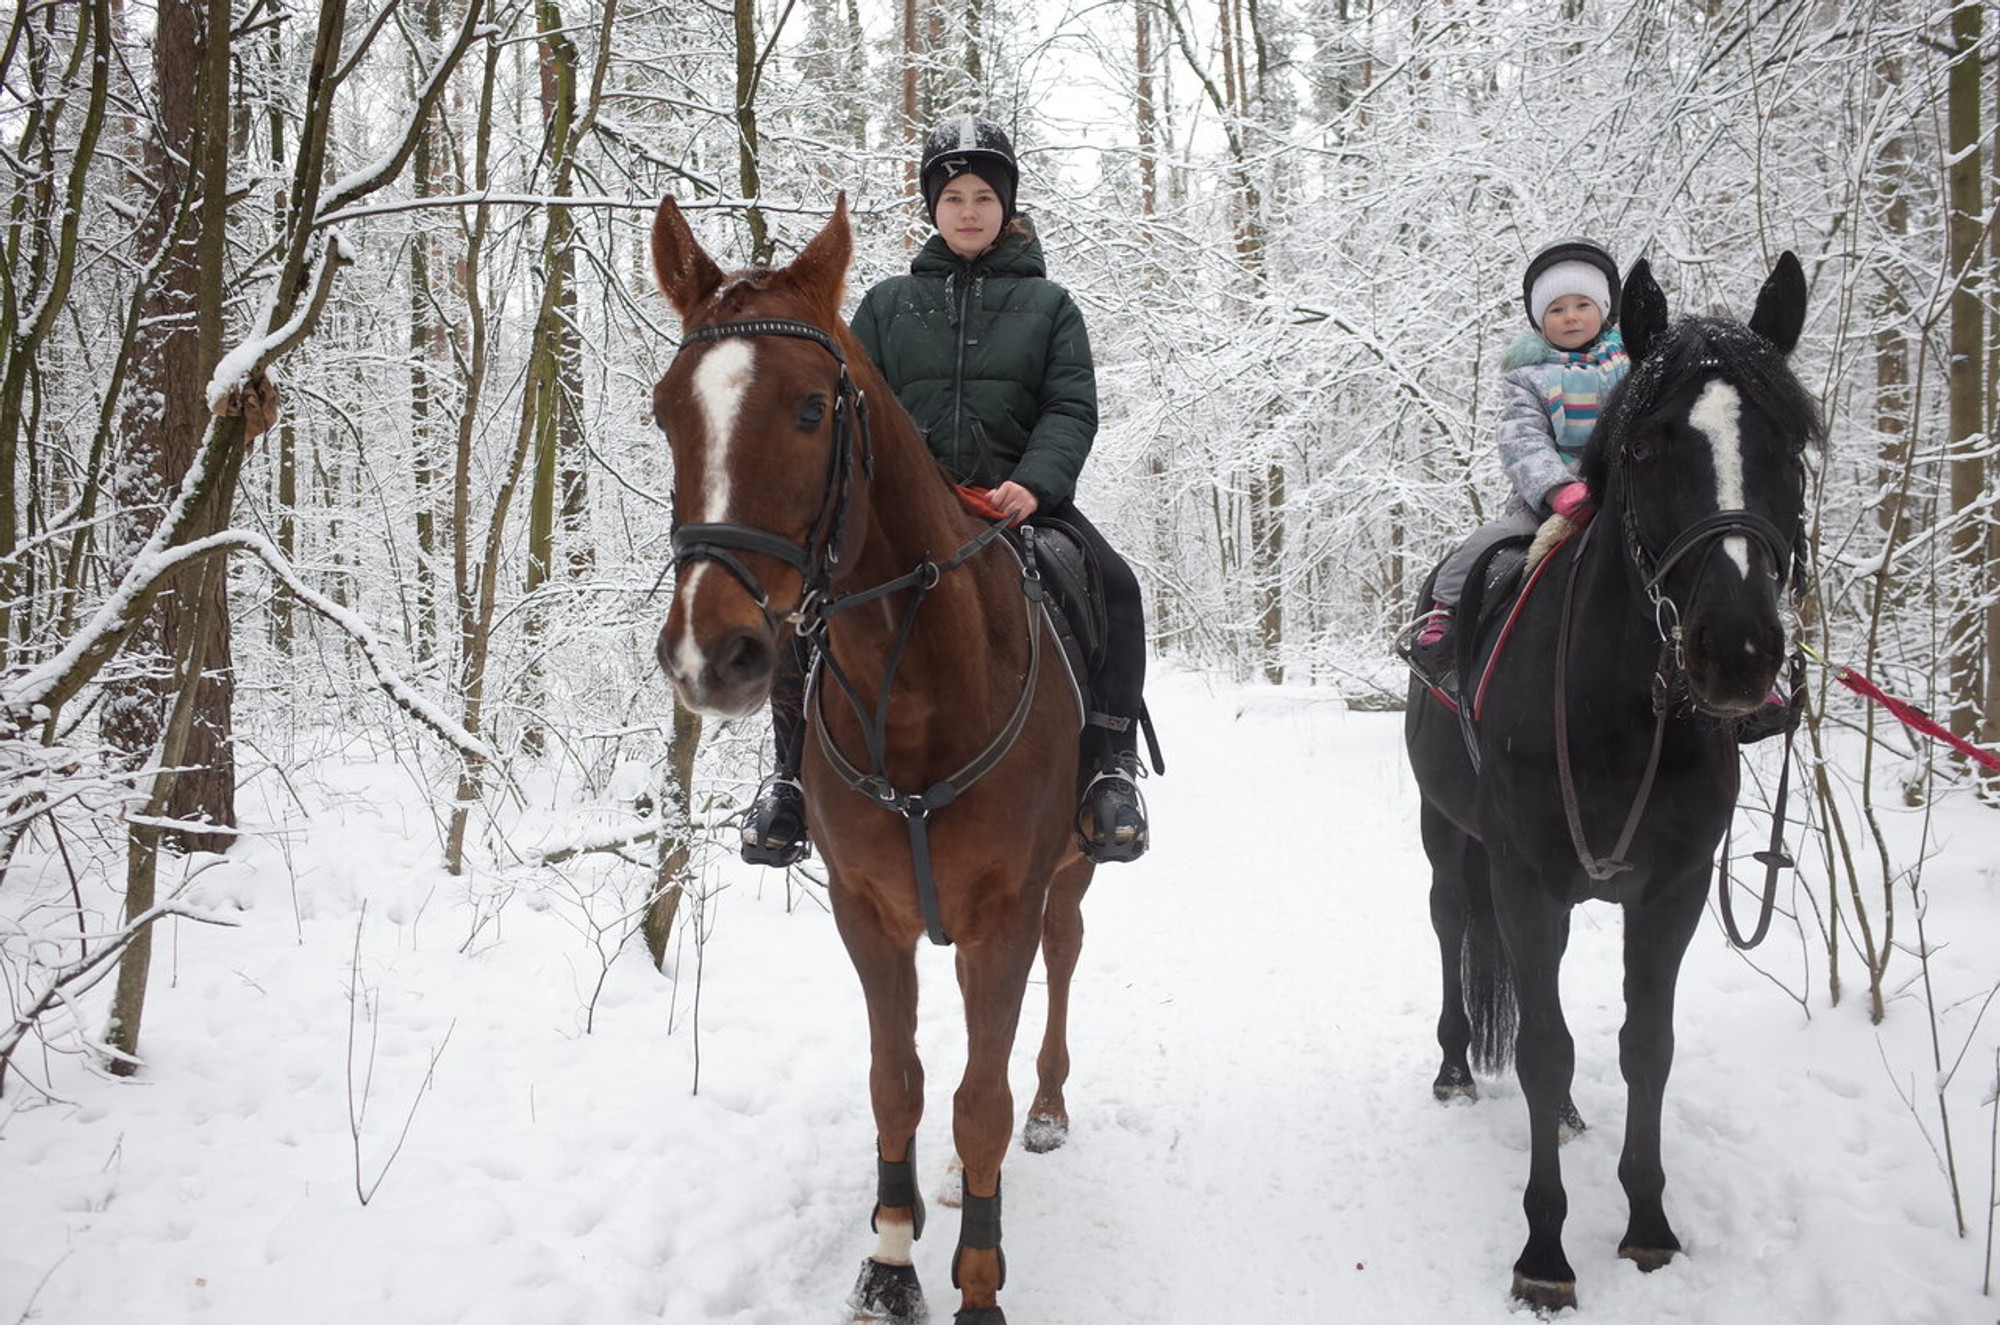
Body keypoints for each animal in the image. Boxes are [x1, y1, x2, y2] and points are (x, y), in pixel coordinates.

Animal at [648, 200, 1096, 1325]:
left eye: (812, 409)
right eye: (666, 412)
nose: (708, 653)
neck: (920, 694)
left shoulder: (1005, 911)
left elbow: (979, 1100)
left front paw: (976, 1284)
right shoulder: (866, 909)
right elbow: (897, 1081)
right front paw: (892, 1258)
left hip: (1069, 877)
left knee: (1063, 963)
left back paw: (1048, 1105)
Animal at [1416, 254, 1824, 1312]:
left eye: (1792, 445)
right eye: (1645, 448)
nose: (1737, 649)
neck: (1621, 711)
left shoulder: (1671, 891)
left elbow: (1647, 1045)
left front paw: (1647, 1225)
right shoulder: (1524, 880)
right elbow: (1542, 1042)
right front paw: (1545, 1255)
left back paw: (1559, 1114)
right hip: (1448, 837)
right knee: (1451, 928)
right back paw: (1455, 1069)